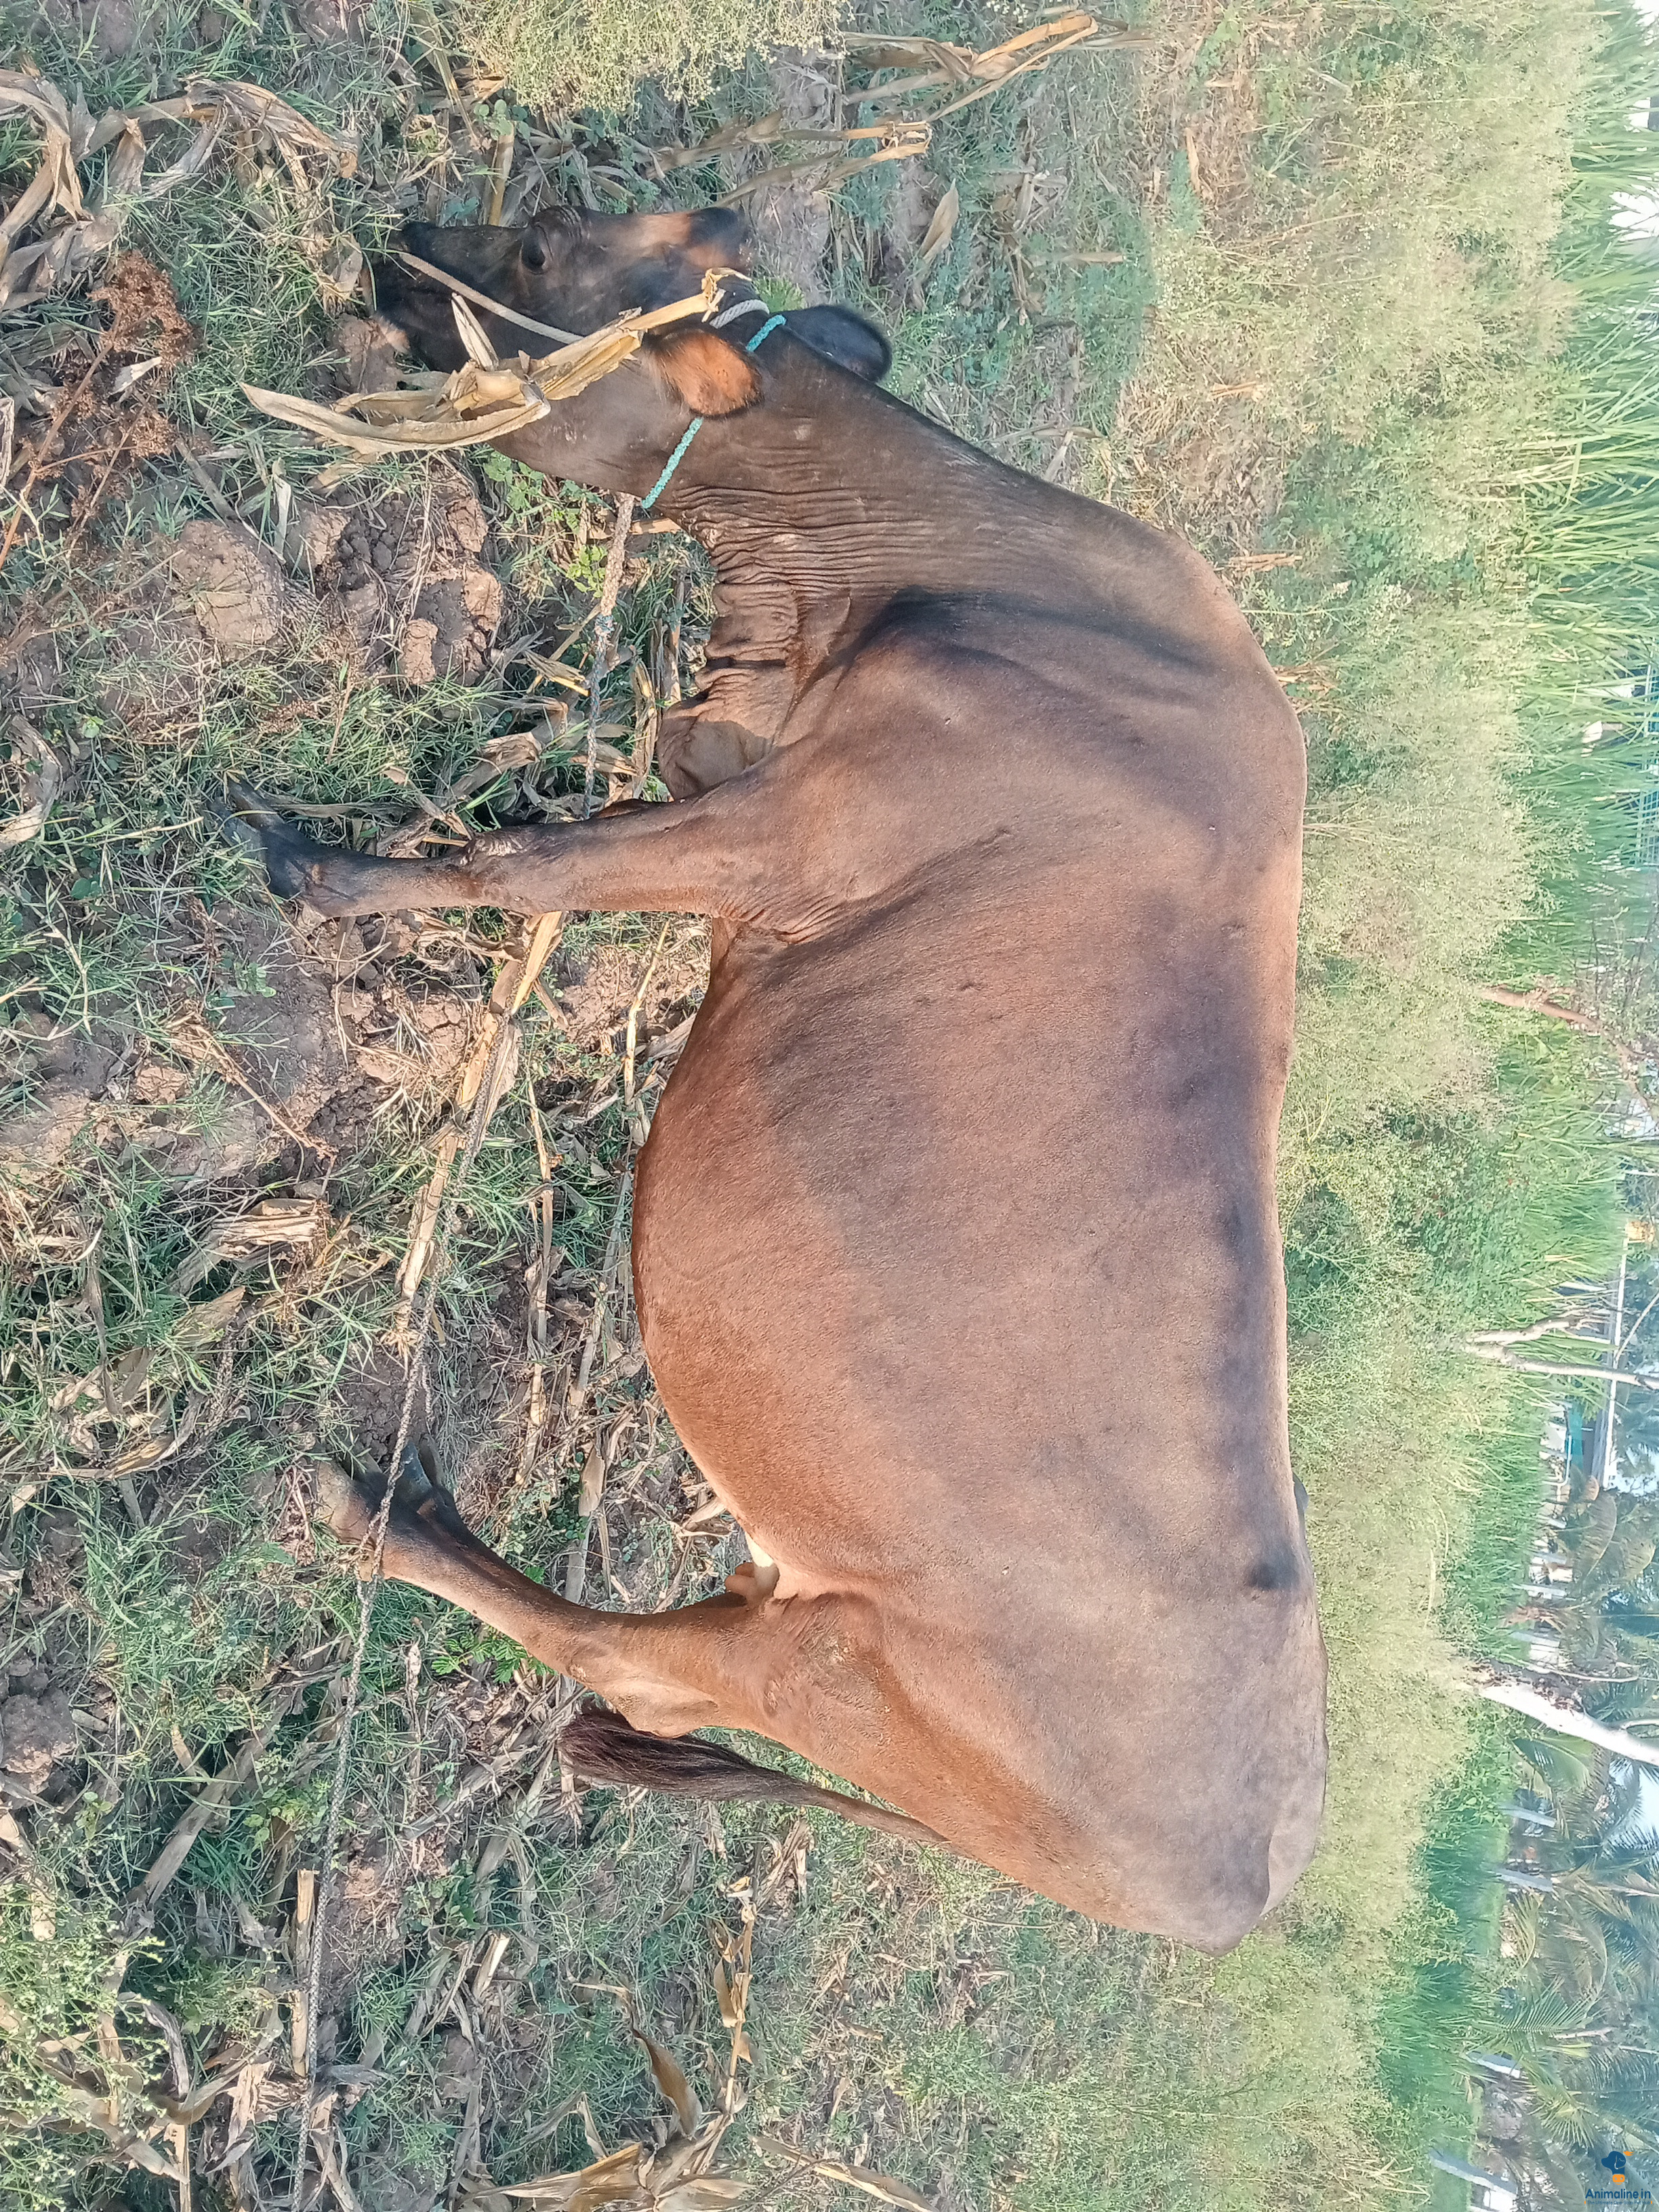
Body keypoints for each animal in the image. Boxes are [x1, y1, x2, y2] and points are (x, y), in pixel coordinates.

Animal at [230, 203, 1327, 1951]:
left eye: (541, 251)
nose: (398, 250)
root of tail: (1243, 1888)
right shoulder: (732, 757)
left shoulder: (791, 835)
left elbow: (530, 864)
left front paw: (321, 871)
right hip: (792, 1604)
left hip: (822, 1663)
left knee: (627, 1663)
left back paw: (381, 1518)